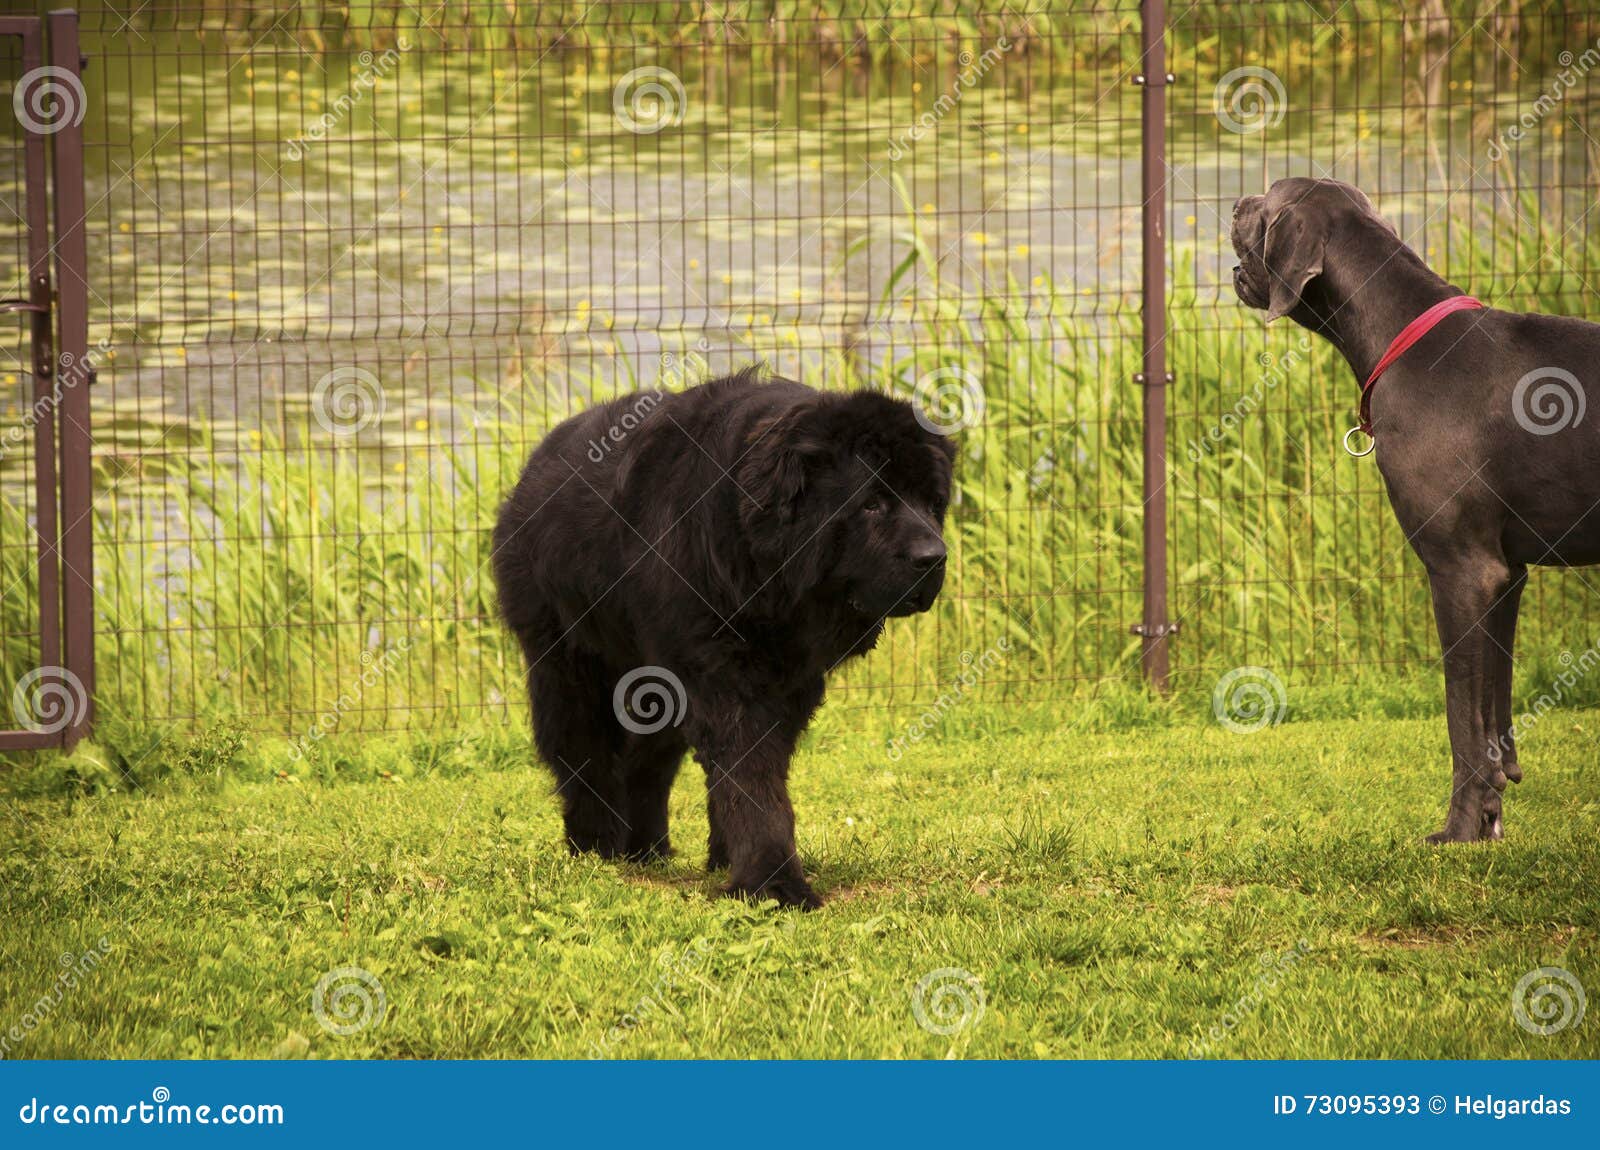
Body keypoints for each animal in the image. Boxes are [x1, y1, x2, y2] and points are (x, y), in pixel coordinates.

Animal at [492, 369, 953, 908]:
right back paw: (595, 845)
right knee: (584, 752)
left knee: (646, 761)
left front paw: (730, 861)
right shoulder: (720, 672)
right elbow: (751, 774)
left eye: (932, 503)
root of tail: (538, 461)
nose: (933, 557)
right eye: (872, 504)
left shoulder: (788, 680)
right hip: (569, 661)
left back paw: (647, 847)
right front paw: (774, 883)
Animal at [1235, 175, 1600, 838]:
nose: (1231, 204)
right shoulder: (1506, 575)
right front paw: (1491, 818)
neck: (1404, 339)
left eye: (1266, 200)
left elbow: (1460, 718)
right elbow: (1492, 712)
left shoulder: (1461, 571)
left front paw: (1459, 829)